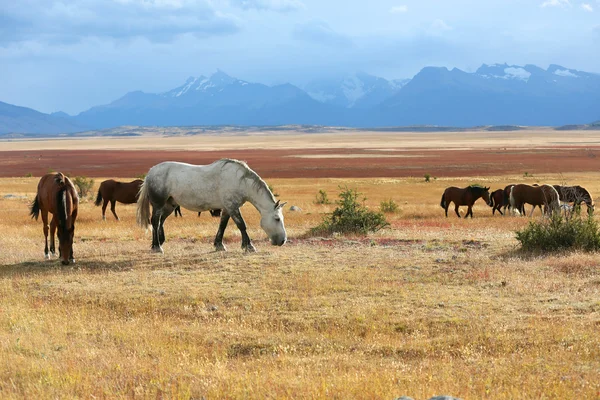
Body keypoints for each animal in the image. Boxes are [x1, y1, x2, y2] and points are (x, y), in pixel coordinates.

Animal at [137, 158, 288, 252]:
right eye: (277, 219)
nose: (283, 241)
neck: (241, 181)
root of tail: (150, 172)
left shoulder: (227, 208)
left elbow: (223, 225)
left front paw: (219, 245)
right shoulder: (232, 207)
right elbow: (242, 225)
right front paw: (249, 246)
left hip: (170, 204)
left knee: (161, 221)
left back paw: (159, 242)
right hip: (158, 204)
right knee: (155, 221)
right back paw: (157, 247)